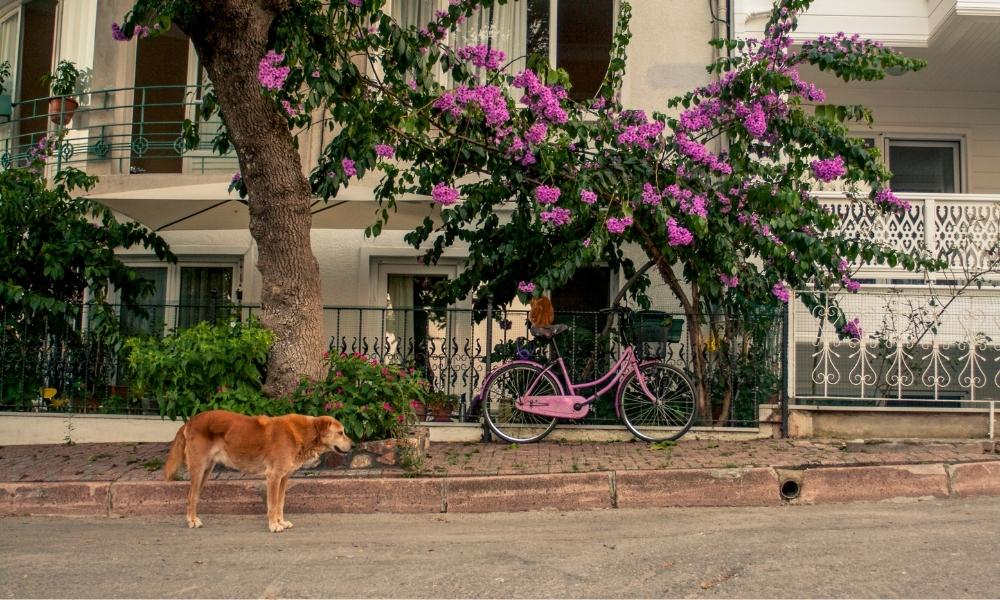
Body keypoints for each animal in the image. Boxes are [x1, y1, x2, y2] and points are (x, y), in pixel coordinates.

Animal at [164, 410, 352, 532]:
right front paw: (274, 525)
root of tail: (190, 421)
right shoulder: (273, 477)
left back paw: (193, 519)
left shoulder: (283, 478)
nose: (353, 445)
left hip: (206, 471)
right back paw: (192, 522)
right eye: (340, 433)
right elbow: (272, 504)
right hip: (198, 468)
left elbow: (280, 503)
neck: (302, 434)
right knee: (191, 496)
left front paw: (281, 522)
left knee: (194, 496)